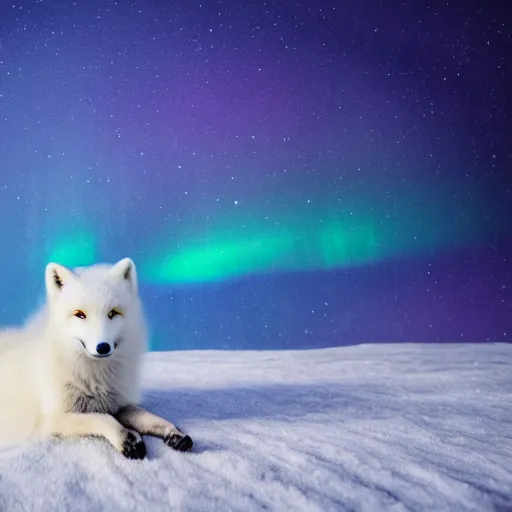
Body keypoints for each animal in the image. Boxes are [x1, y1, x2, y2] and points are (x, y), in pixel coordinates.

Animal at [0, 258, 192, 458]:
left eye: (113, 313)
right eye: (80, 314)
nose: (103, 347)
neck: (95, 379)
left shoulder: (117, 403)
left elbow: (144, 415)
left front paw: (174, 432)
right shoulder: (51, 420)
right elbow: (102, 418)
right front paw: (128, 439)